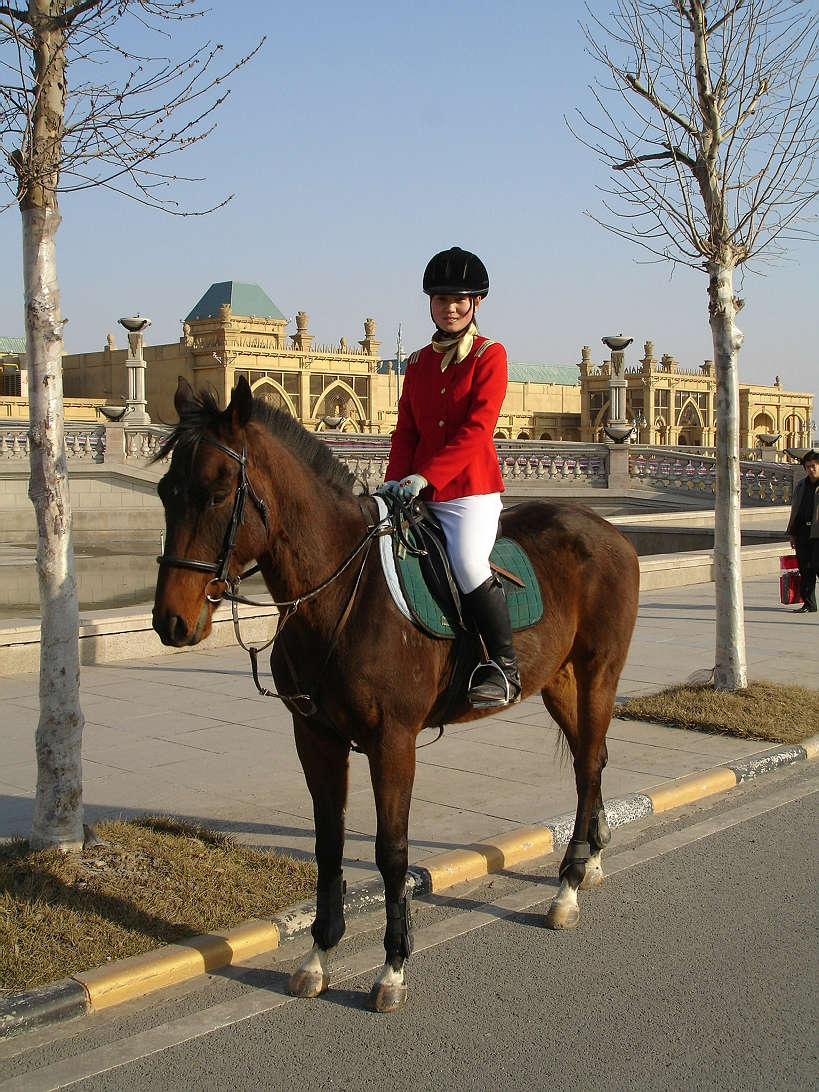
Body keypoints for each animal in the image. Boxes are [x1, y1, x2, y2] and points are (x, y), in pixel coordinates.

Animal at [152, 377, 642, 1013]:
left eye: (216, 494)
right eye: (165, 492)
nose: (171, 622)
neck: (339, 594)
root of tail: (607, 529)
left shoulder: (393, 741)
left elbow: (391, 851)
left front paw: (392, 966)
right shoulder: (315, 736)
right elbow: (328, 843)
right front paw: (319, 954)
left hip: (599, 671)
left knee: (586, 766)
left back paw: (568, 885)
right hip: (558, 681)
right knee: (593, 758)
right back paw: (593, 860)